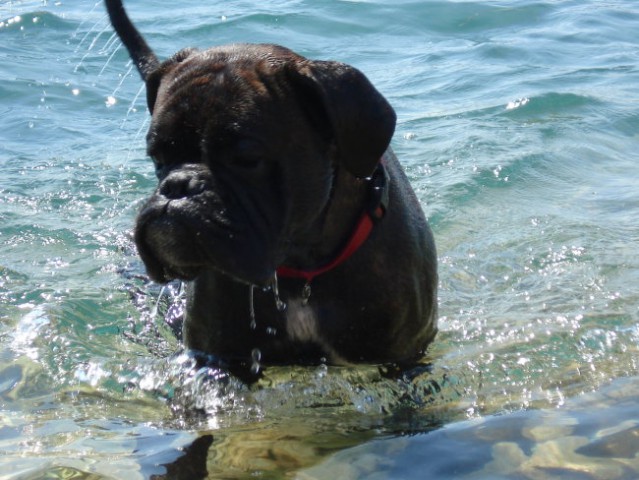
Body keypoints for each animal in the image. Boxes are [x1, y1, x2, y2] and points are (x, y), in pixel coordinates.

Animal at [106, 0, 440, 374]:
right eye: (157, 156)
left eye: (247, 158)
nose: (179, 186)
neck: (301, 273)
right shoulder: (219, 358)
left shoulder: (403, 358)